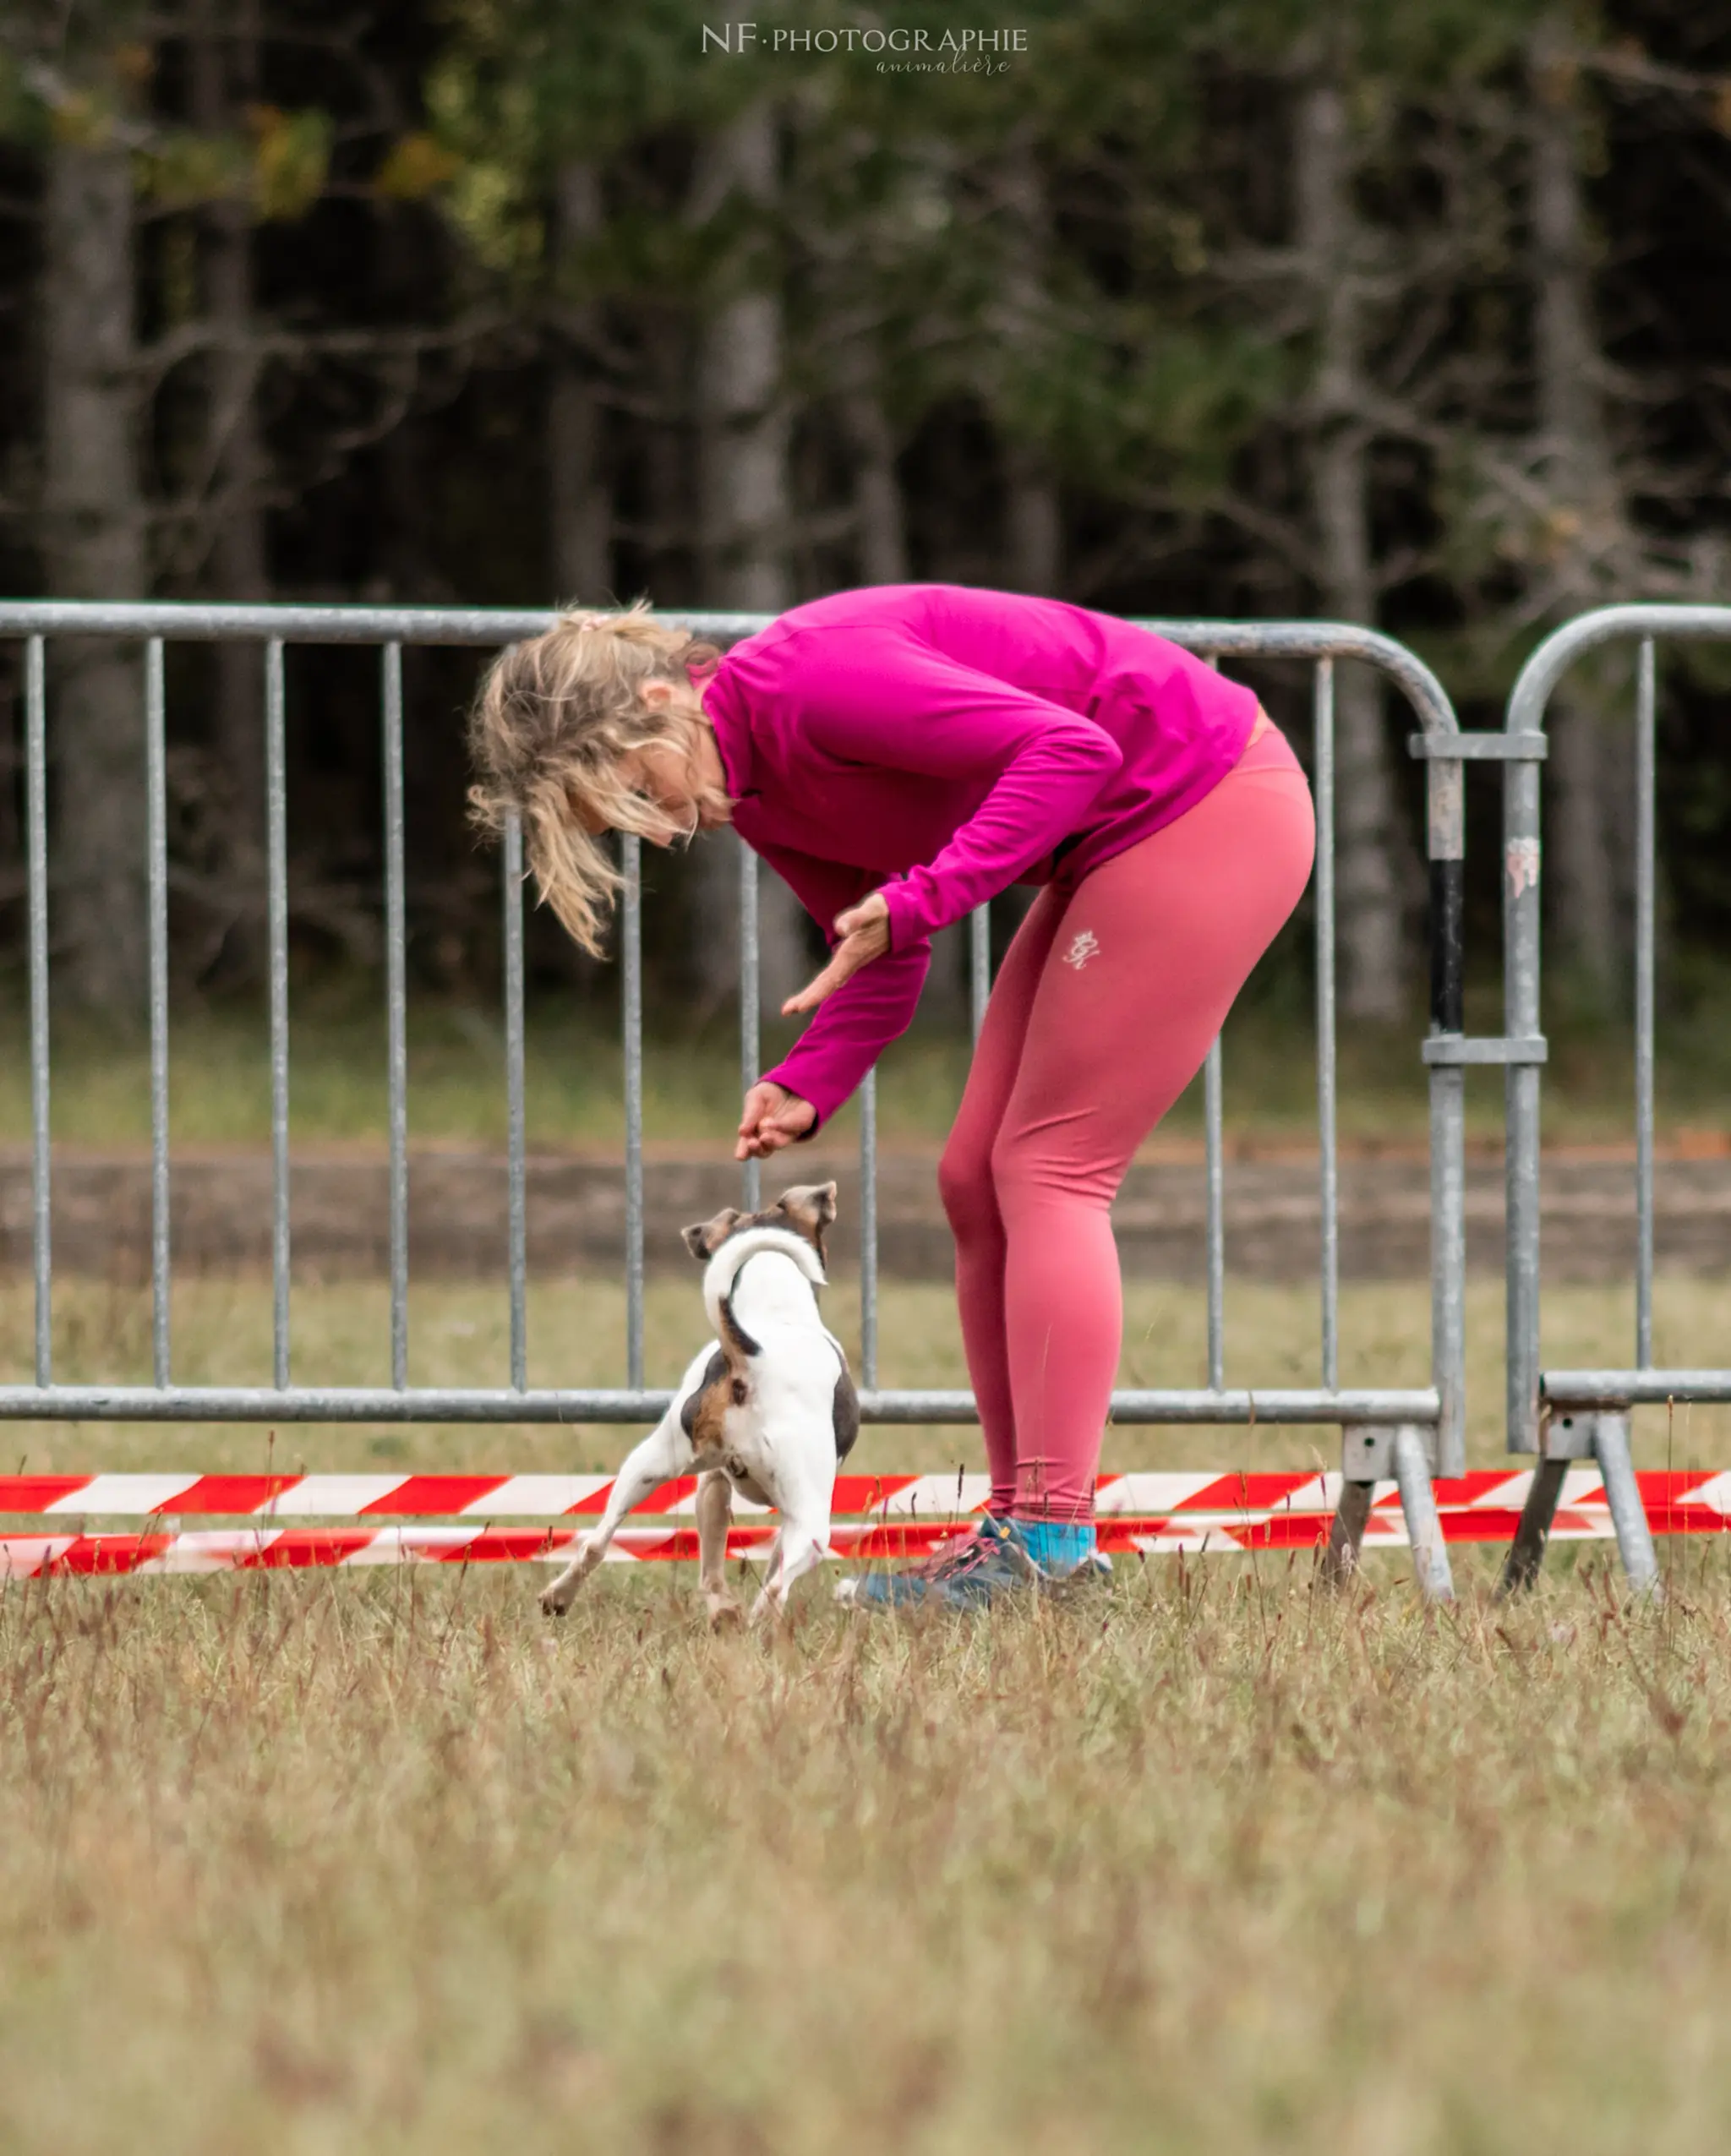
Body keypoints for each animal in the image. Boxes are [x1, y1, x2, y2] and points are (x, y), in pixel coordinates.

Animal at [541, 1190, 858, 1621]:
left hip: (646, 1465)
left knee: (596, 1543)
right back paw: (758, 1624)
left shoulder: (711, 1482)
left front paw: (720, 1607)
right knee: (775, 1590)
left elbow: (710, 1560)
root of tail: (752, 1359)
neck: (776, 1311)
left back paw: (558, 1597)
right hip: (811, 1523)